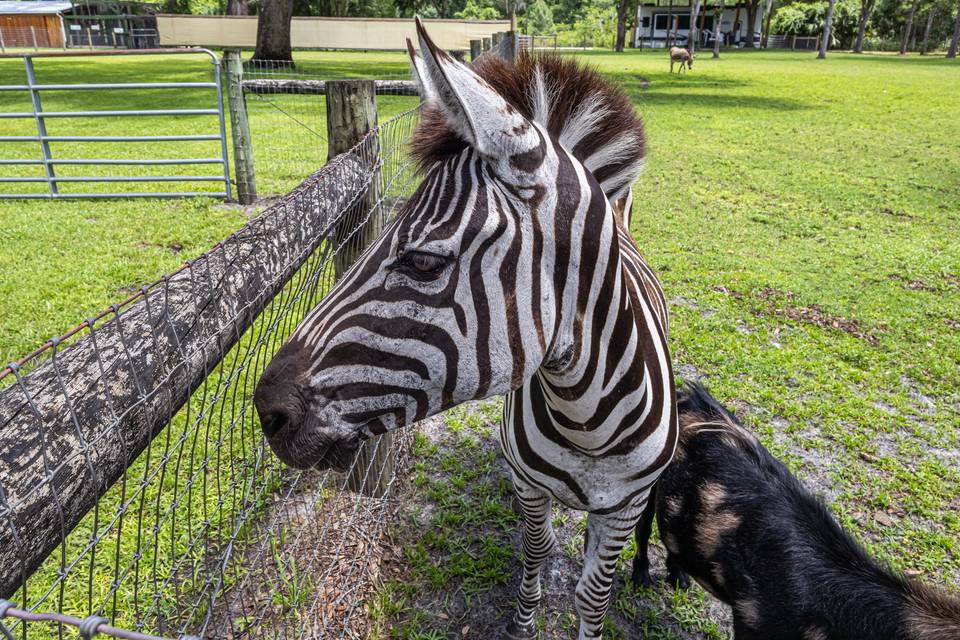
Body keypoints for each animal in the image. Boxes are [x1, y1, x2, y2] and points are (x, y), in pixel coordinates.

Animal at [253, 19, 677, 639]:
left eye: (424, 263)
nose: (265, 411)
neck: (587, 423)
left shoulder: (624, 508)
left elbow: (592, 596)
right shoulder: (529, 487)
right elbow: (535, 552)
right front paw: (523, 623)